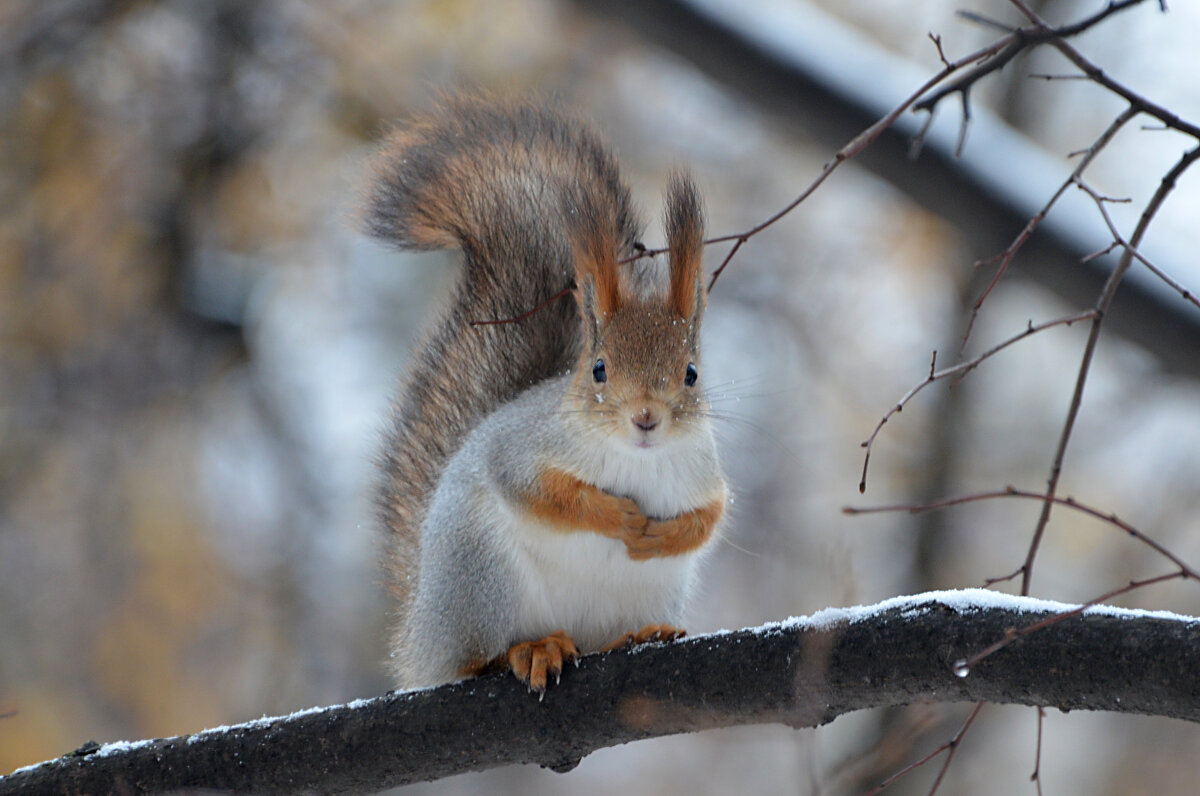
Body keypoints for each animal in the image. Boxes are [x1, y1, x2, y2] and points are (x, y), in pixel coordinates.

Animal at [360, 93, 724, 696]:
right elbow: (543, 491)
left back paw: (640, 633)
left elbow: (709, 517)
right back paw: (531, 648)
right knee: (477, 658)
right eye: (598, 369)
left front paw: (661, 537)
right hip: (482, 578)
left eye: (691, 373)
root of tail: (421, 637)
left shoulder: (705, 473)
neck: (637, 459)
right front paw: (616, 516)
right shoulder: (522, 447)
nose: (646, 418)